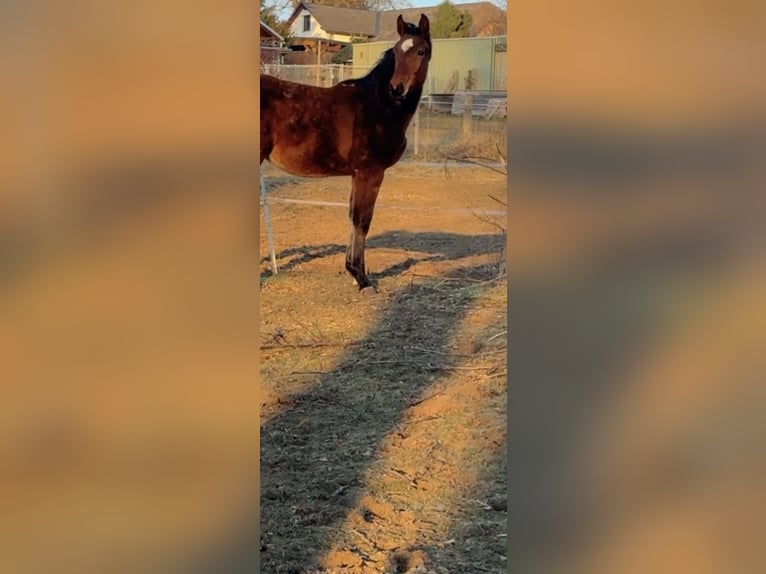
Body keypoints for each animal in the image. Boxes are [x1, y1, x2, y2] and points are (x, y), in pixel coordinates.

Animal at [260, 14, 432, 294]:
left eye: (421, 51)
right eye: (396, 51)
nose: (396, 88)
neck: (378, 106)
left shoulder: (357, 174)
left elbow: (353, 216)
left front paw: (353, 271)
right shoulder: (370, 172)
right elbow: (363, 220)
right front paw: (363, 280)